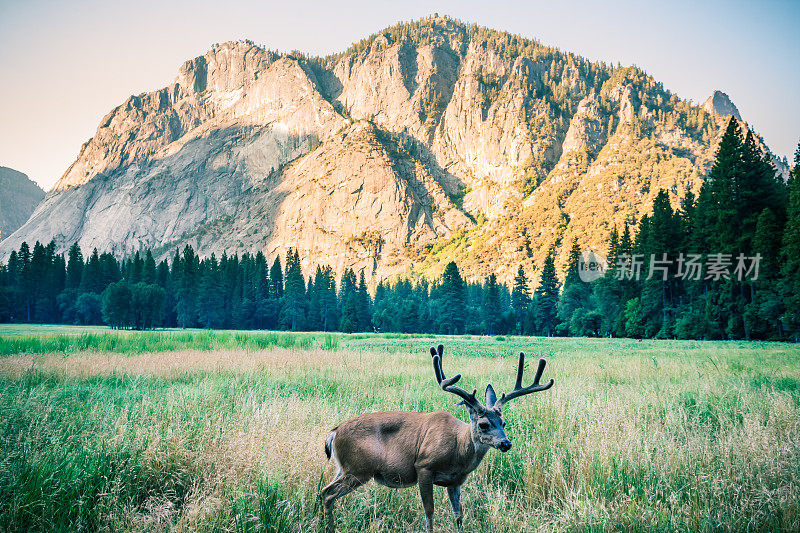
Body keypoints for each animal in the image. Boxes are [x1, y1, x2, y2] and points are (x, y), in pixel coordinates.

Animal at [322, 342, 552, 528]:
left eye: (503, 423)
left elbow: (458, 515)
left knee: (327, 492)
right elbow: (429, 512)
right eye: (484, 424)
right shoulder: (423, 466)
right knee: (327, 494)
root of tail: (335, 432)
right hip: (359, 467)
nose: (506, 443)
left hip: (345, 468)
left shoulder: (456, 481)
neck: (458, 450)